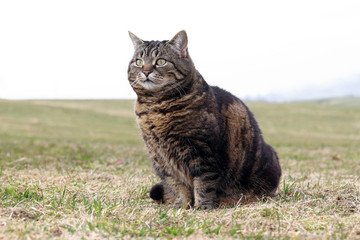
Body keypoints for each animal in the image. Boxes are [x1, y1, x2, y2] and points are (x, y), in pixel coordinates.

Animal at [126, 31, 282, 209]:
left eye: (160, 61)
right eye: (139, 62)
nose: (145, 71)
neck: (155, 107)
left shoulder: (204, 154)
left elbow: (204, 185)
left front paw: (202, 207)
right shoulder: (160, 158)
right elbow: (177, 185)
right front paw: (181, 205)